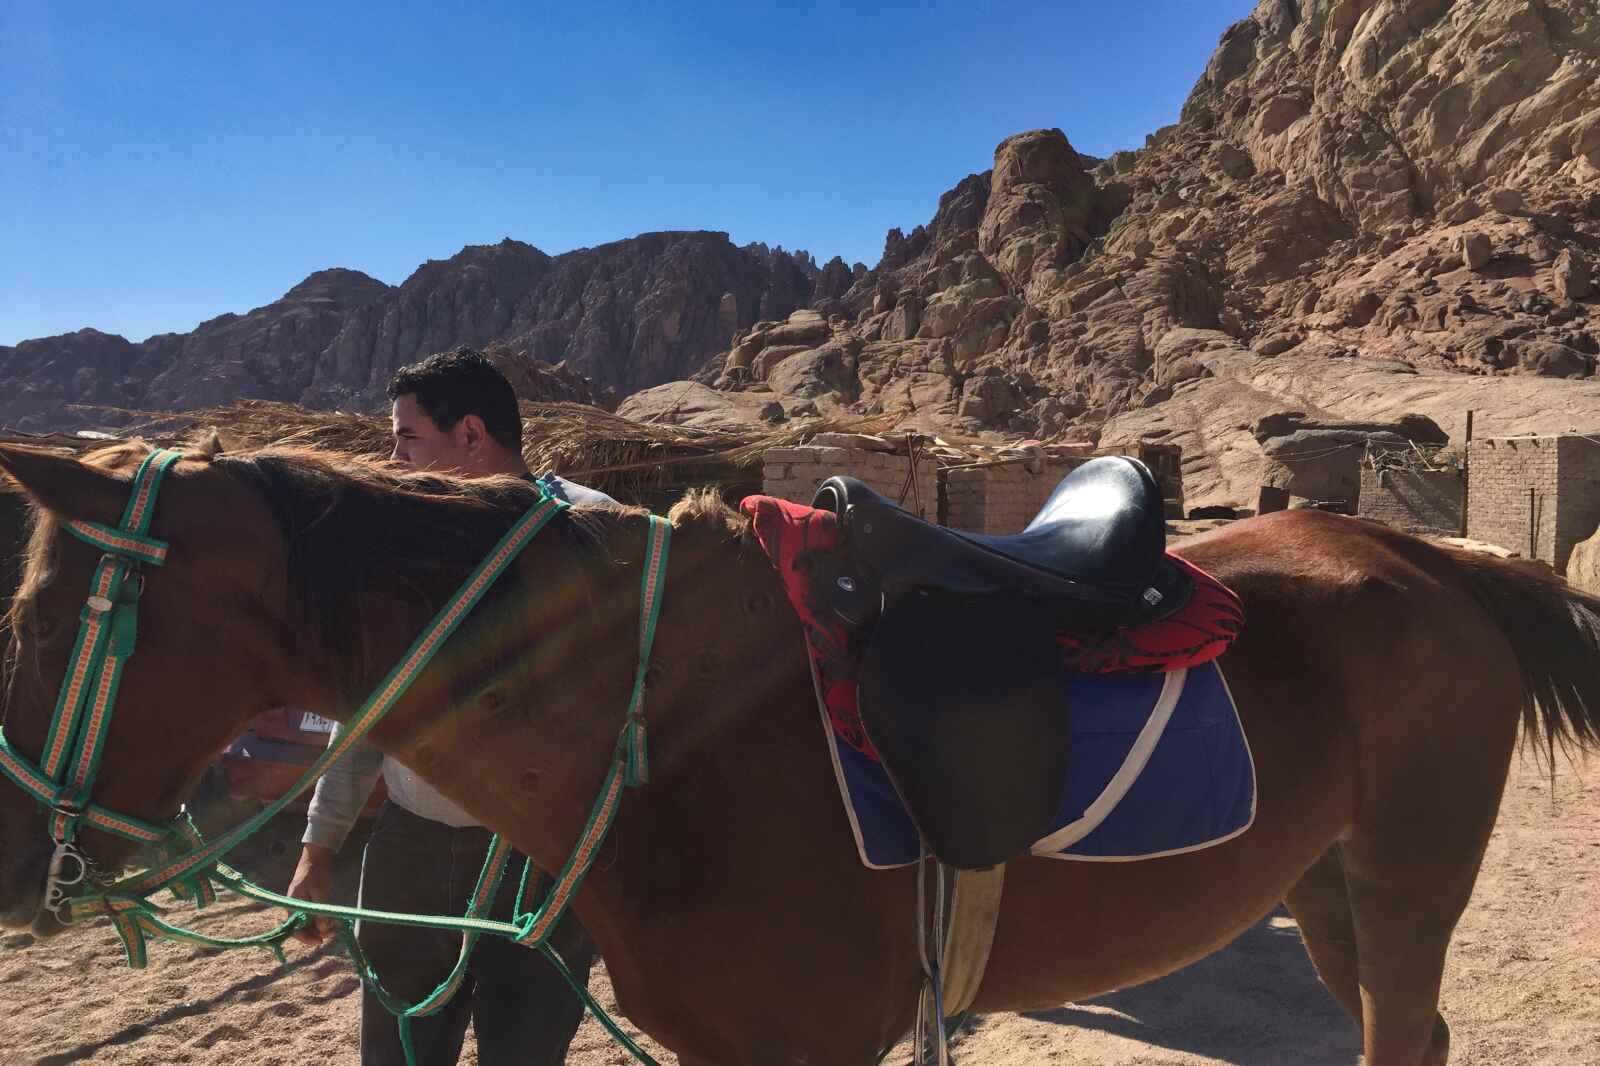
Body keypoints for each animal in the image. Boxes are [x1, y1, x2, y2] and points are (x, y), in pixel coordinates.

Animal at [0, 438, 1593, 1062]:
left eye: (37, 617)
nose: (19, 868)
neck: (660, 733)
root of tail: (1417, 552)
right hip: (1321, 885)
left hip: (1406, 882)